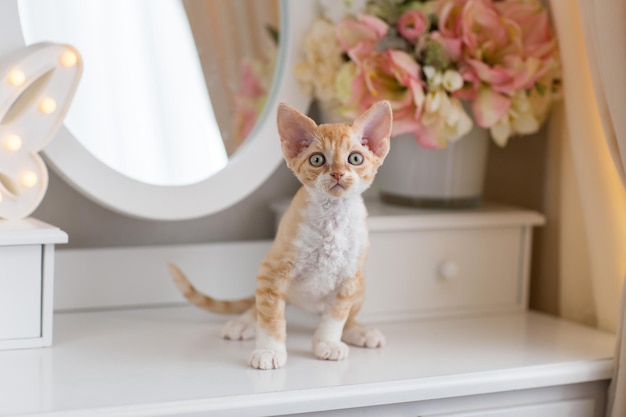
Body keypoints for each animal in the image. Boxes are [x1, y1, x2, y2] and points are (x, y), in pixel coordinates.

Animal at [167, 99, 390, 368]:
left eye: (355, 158)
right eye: (317, 160)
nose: (337, 173)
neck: (332, 221)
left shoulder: (349, 278)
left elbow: (336, 316)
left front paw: (327, 342)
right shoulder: (272, 272)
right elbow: (270, 316)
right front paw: (269, 350)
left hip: (360, 285)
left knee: (346, 317)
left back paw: (358, 330)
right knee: (259, 306)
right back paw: (243, 323)